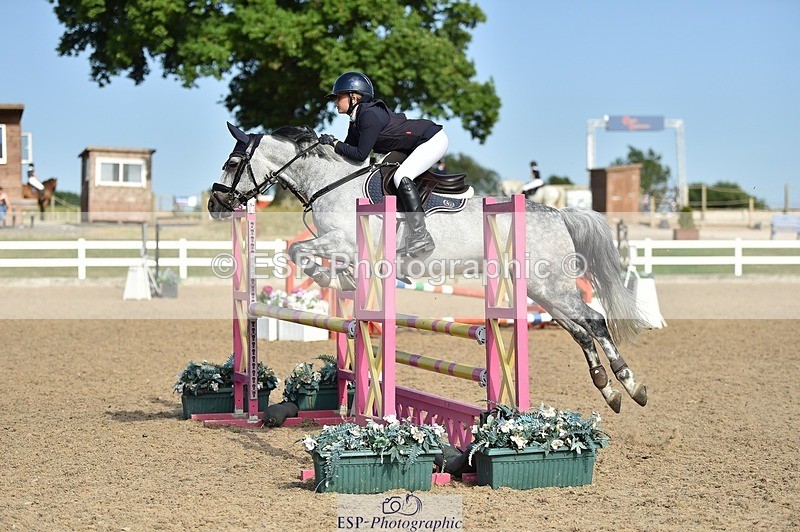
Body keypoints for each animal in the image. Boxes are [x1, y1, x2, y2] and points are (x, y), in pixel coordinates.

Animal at [208, 123, 648, 413]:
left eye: (231, 162)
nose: (215, 205)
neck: (331, 183)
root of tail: (559, 214)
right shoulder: (345, 247)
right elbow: (305, 254)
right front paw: (344, 282)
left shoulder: (345, 242)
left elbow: (299, 251)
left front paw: (332, 278)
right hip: (540, 290)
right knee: (580, 329)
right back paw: (610, 390)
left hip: (552, 285)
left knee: (593, 321)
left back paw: (630, 384)